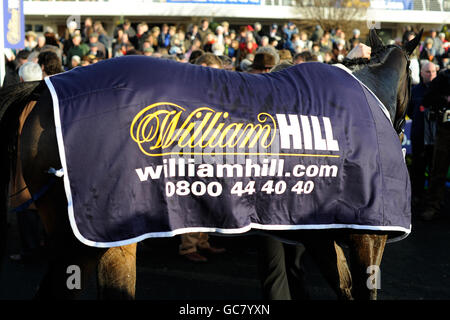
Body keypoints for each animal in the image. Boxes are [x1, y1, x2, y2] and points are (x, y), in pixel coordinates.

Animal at [0, 29, 420, 300]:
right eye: (414, 77)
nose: (403, 131)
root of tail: (45, 88)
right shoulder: (369, 234)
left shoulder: (320, 229)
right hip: (90, 236)